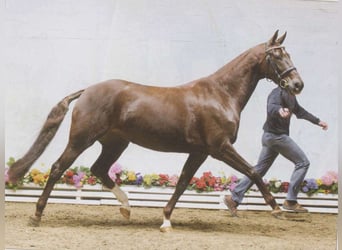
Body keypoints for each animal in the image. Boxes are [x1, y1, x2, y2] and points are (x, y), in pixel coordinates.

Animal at [7, 30, 302, 231]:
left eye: (288, 53)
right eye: (276, 55)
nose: (297, 84)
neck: (221, 94)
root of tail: (87, 91)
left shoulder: (200, 152)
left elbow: (182, 182)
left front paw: (166, 220)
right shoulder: (220, 148)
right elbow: (253, 171)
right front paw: (276, 209)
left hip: (115, 143)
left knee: (99, 169)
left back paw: (126, 208)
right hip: (81, 140)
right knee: (58, 168)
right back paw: (37, 215)